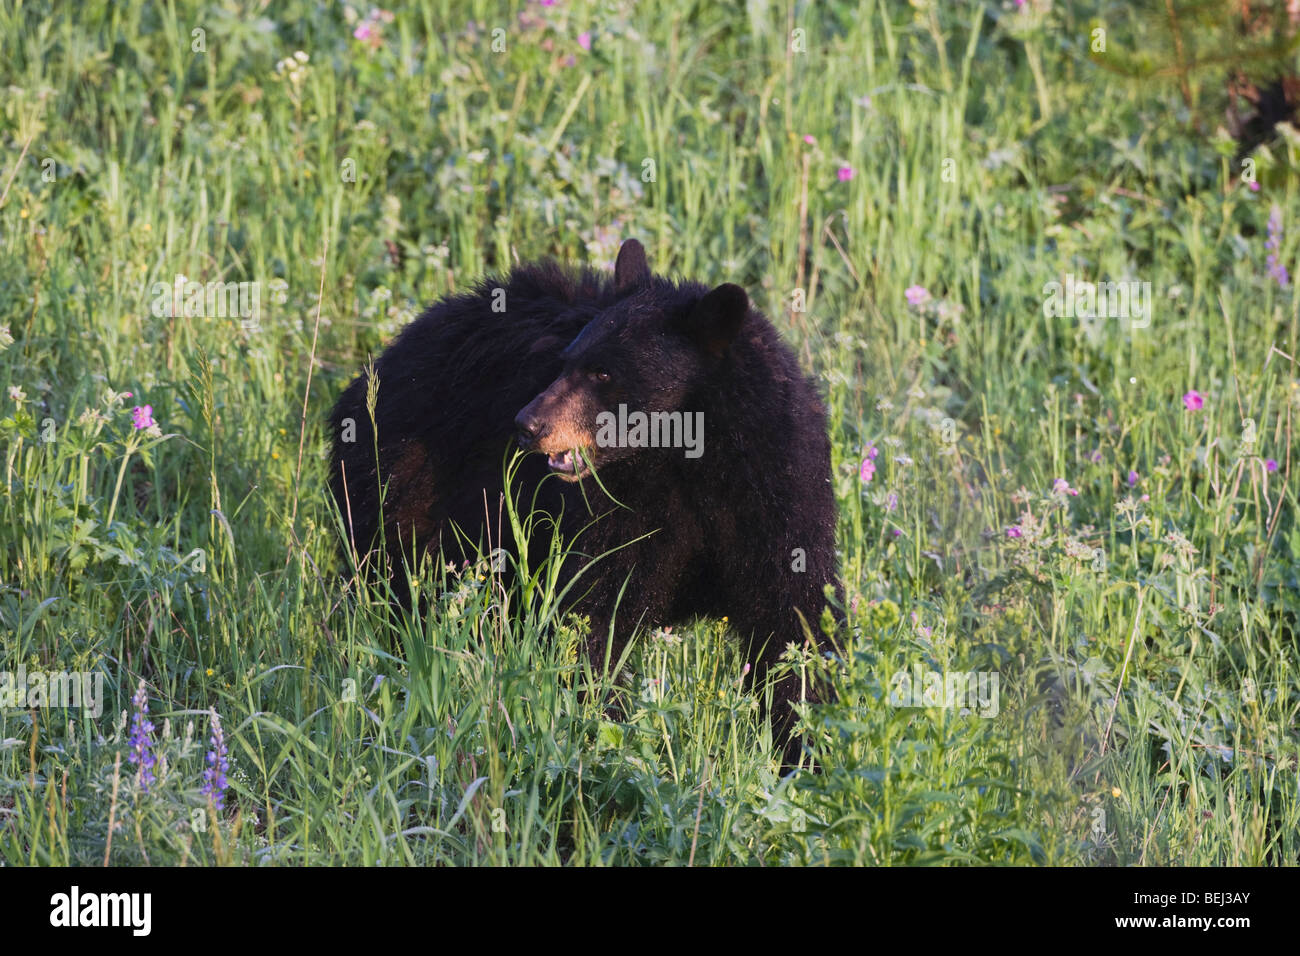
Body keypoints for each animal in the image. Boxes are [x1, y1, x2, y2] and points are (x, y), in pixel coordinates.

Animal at [329, 239, 839, 768]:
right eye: (566, 361)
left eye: (604, 372)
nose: (526, 424)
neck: (691, 463)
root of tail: (382, 359)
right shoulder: (615, 511)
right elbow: (595, 612)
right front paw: (600, 730)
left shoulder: (777, 495)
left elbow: (791, 618)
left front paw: (802, 749)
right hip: (406, 482)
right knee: (398, 580)